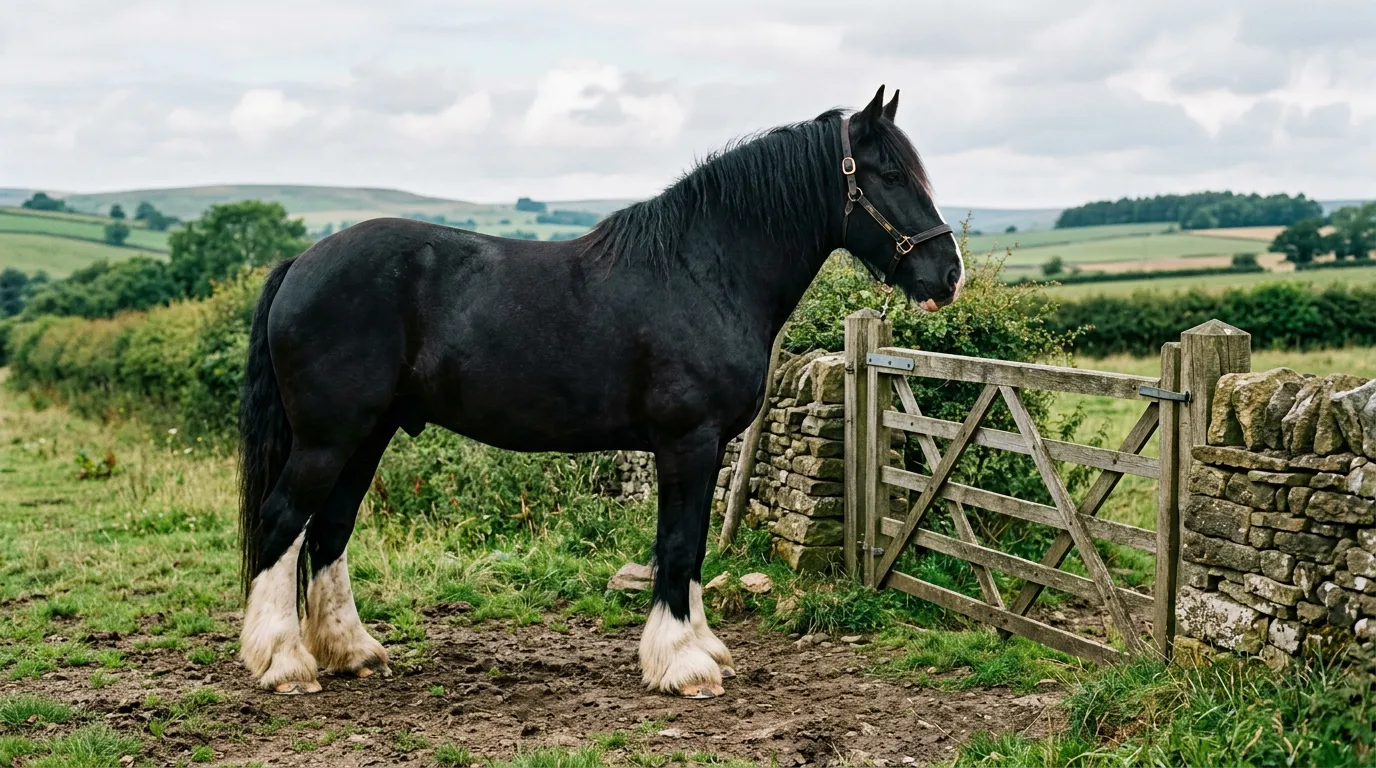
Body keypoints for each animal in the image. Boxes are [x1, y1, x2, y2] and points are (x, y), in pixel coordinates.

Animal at [236, 85, 964, 698]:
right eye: (890, 175)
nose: (948, 274)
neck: (703, 270)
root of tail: (300, 263)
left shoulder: (705, 450)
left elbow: (692, 548)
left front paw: (702, 649)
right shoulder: (686, 442)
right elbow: (678, 545)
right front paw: (684, 665)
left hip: (368, 435)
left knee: (330, 531)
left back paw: (352, 652)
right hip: (328, 439)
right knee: (284, 521)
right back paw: (286, 664)